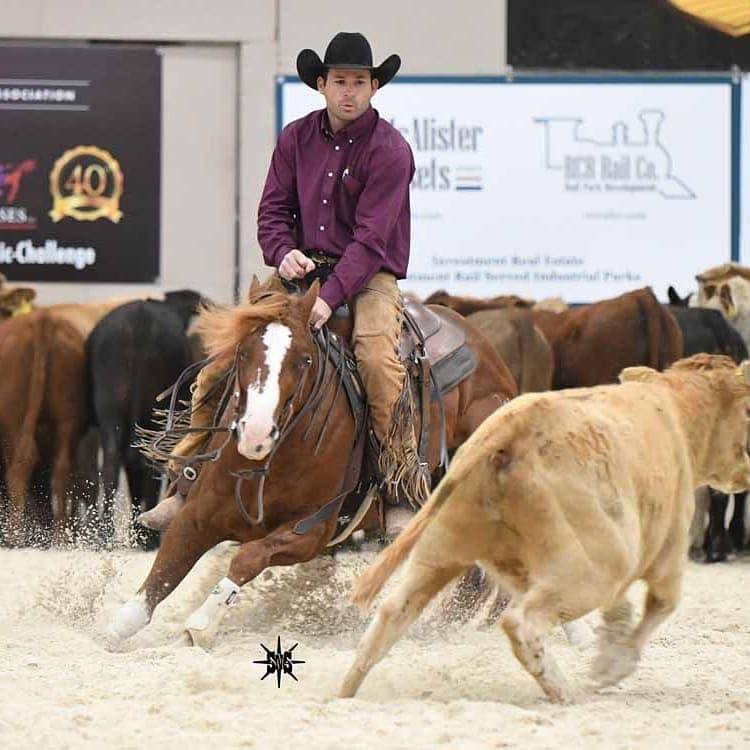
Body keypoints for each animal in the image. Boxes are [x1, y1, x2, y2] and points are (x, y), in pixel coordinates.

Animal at [87, 290, 203, 548]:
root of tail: (139, 320)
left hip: (111, 408)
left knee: (113, 463)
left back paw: (107, 535)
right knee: (146, 460)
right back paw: (147, 538)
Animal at [107, 284, 516, 648]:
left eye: (304, 359)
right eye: (242, 353)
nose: (255, 433)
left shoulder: (310, 533)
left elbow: (247, 558)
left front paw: (202, 624)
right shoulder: (197, 515)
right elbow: (164, 571)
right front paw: (117, 627)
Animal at [340, 356, 750, 704]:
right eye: (747, 410)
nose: (745, 471)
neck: (676, 411)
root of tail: (511, 429)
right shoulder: (668, 549)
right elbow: (663, 603)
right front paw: (610, 667)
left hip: (442, 549)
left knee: (393, 612)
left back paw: (345, 689)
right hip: (595, 569)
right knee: (520, 622)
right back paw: (562, 689)